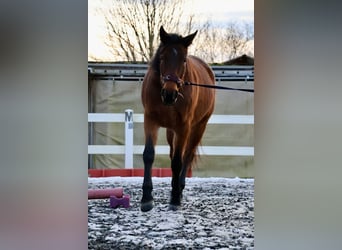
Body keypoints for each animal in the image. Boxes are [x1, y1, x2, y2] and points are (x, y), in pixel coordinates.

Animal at [140, 26, 215, 211]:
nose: (169, 94)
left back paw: (179, 189)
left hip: (198, 127)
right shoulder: (150, 121)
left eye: (184, 60)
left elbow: (177, 161)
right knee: (174, 153)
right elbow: (149, 155)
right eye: (162, 57)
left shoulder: (183, 127)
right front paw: (146, 198)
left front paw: (174, 198)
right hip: (170, 131)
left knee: (187, 155)